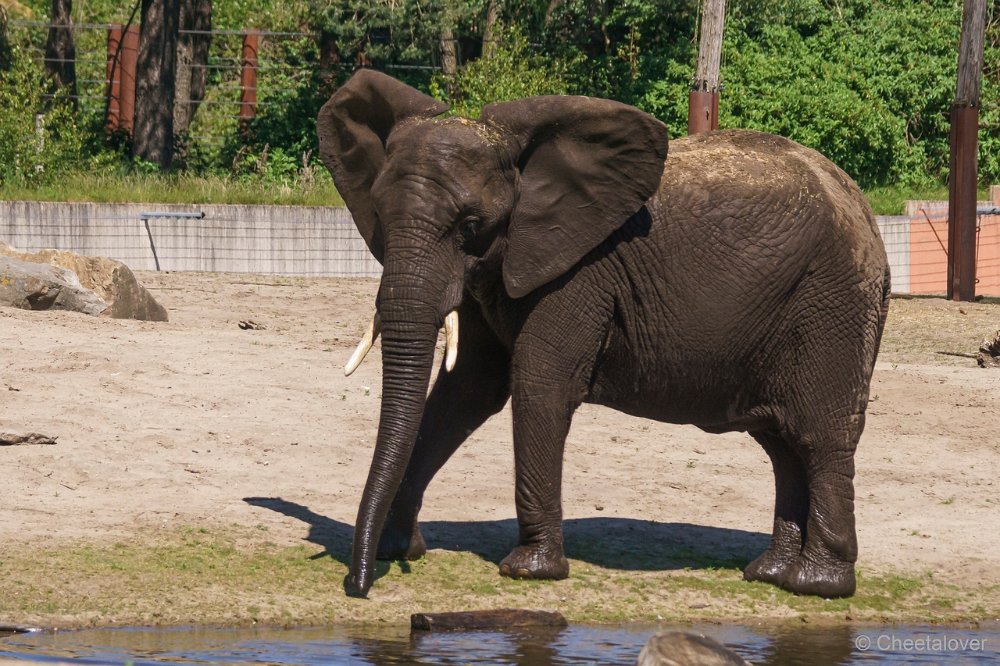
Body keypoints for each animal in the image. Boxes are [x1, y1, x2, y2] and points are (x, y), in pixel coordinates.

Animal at [316, 70, 888, 600]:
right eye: (379, 217)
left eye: (470, 224)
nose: (356, 586)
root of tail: (864, 210)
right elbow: (466, 391)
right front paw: (394, 549)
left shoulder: (579, 271)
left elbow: (537, 383)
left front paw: (529, 570)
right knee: (781, 444)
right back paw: (769, 574)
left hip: (834, 305)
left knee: (818, 438)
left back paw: (816, 584)